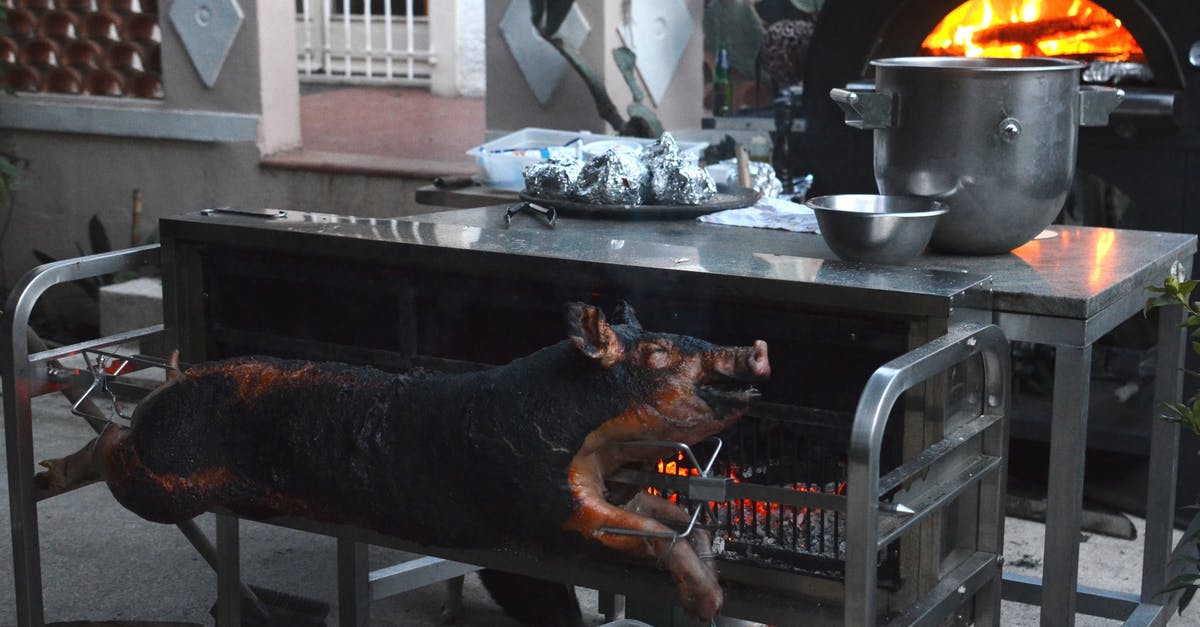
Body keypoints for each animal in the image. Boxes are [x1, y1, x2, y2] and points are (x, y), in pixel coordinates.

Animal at [37, 300, 772, 614]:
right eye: (657, 355)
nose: (759, 350)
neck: (575, 428)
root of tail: (170, 384)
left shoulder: (603, 489)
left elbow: (665, 515)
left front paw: (710, 581)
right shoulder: (543, 508)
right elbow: (642, 532)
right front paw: (708, 602)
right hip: (163, 478)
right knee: (109, 451)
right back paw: (54, 465)